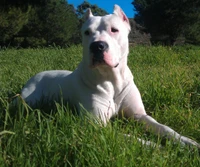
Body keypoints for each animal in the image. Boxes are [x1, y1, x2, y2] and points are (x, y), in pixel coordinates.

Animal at [20, 4, 200, 148]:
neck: (112, 79)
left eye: (114, 29)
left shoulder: (139, 114)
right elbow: (132, 138)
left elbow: (164, 128)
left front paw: (187, 142)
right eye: (87, 32)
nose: (97, 46)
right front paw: (158, 148)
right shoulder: (97, 125)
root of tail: (37, 75)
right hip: (28, 101)